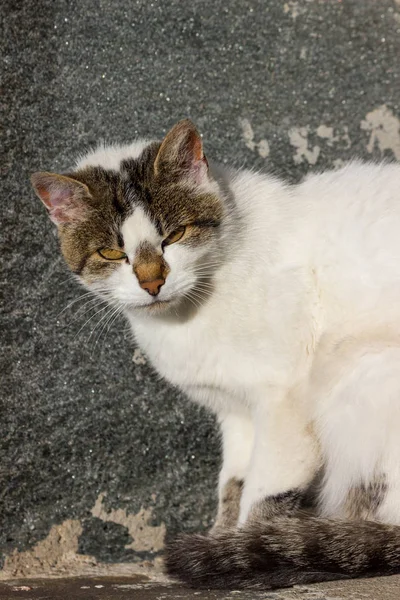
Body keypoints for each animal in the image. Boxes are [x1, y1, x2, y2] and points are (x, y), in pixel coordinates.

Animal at [31, 119, 400, 588]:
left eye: (174, 236)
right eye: (111, 253)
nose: (152, 282)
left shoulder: (284, 399)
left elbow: (265, 492)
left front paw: (247, 547)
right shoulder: (235, 411)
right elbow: (233, 484)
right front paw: (225, 539)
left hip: (362, 376)